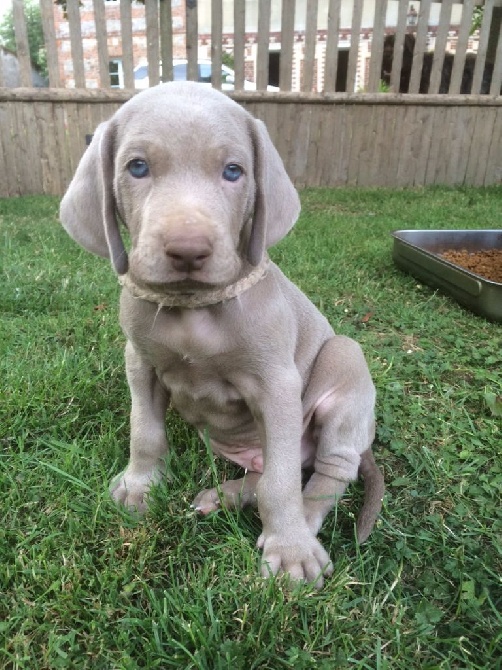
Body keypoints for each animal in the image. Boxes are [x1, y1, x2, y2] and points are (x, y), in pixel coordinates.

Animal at [61, 82, 384, 588]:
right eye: (137, 167)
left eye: (234, 171)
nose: (187, 249)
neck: (194, 310)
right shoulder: (140, 362)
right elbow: (145, 431)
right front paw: (139, 486)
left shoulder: (277, 384)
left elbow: (281, 484)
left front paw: (289, 549)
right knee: (271, 471)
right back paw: (226, 495)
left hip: (345, 363)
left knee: (323, 475)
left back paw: (300, 528)